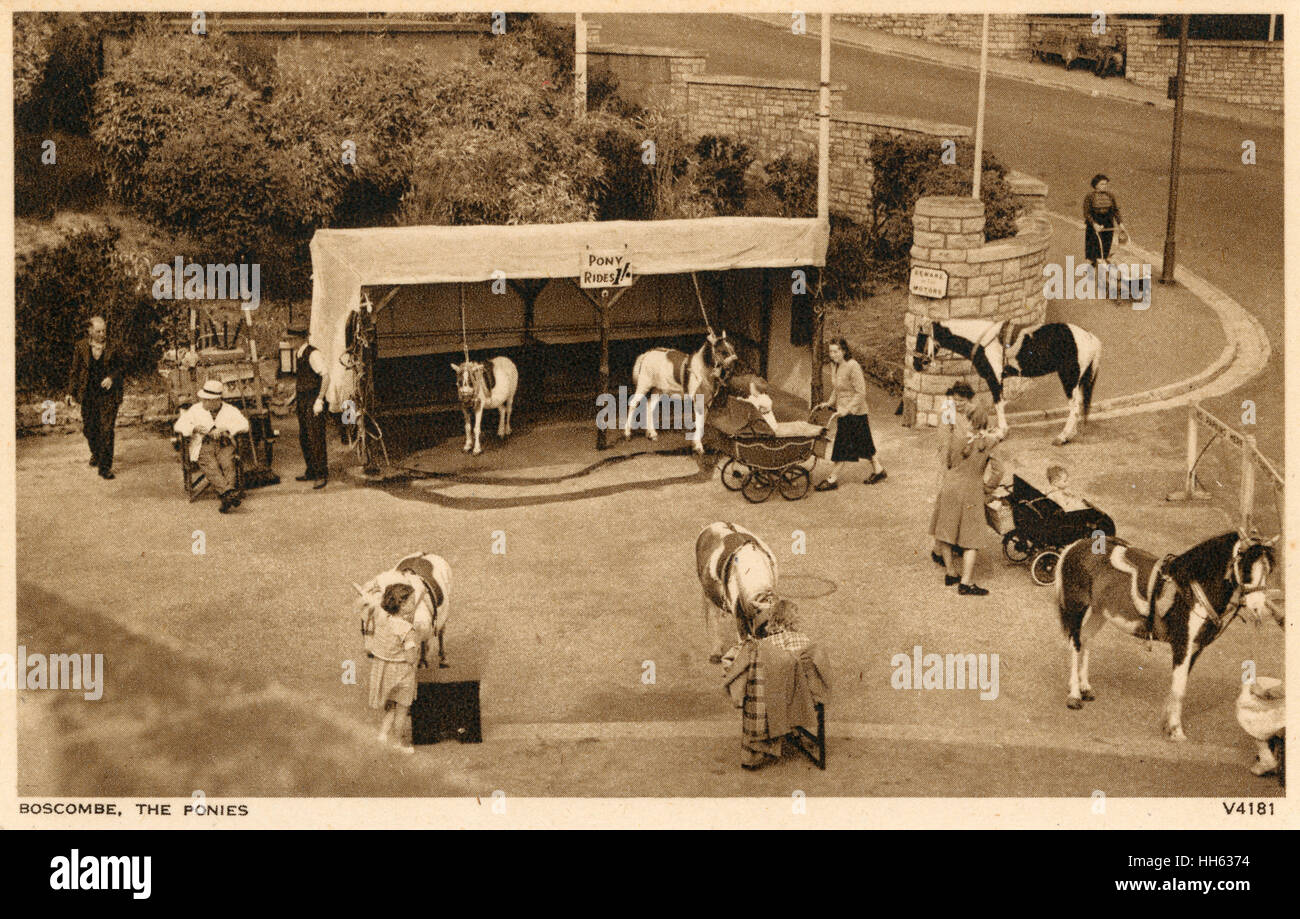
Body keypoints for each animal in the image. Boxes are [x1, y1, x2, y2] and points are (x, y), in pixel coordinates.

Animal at [1055, 532, 1279, 738]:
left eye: (1269, 570)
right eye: (1246, 568)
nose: (1258, 607)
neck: (1193, 590)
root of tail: (1075, 546)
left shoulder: (1196, 649)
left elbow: (1179, 686)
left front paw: (1168, 724)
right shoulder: (1182, 645)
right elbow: (1179, 689)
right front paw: (1175, 730)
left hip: (1099, 612)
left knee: (1086, 639)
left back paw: (1085, 688)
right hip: (1077, 608)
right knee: (1075, 644)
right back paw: (1074, 696)